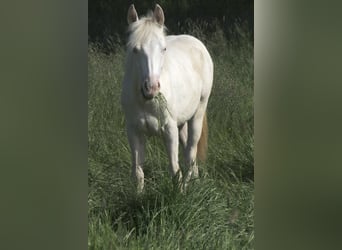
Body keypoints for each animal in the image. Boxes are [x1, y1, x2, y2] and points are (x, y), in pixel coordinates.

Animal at [121, 3, 212, 191]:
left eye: (163, 49)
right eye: (134, 49)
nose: (152, 88)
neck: (145, 101)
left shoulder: (169, 130)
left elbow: (175, 170)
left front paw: (180, 193)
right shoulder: (133, 131)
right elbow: (138, 172)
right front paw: (138, 196)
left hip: (198, 113)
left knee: (191, 152)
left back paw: (188, 185)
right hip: (182, 123)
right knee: (189, 152)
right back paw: (195, 182)